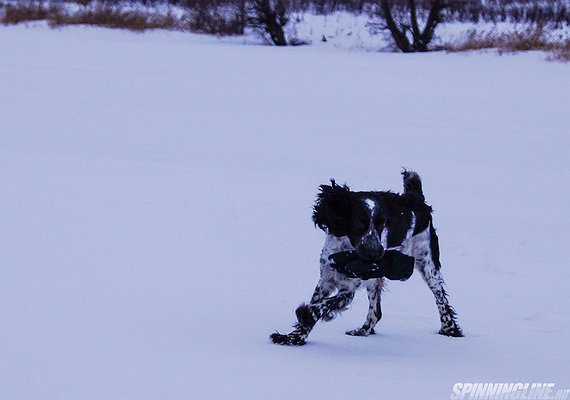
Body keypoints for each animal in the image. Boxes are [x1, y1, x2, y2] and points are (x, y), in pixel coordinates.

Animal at [270, 170, 462, 346]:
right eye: (358, 224)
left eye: (382, 225)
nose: (376, 253)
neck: (346, 250)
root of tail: (416, 200)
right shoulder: (326, 279)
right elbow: (316, 304)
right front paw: (293, 338)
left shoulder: (348, 289)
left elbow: (322, 306)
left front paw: (305, 314)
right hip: (374, 278)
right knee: (376, 312)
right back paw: (363, 331)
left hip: (427, 264)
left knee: (441, 300)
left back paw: (450, 330)